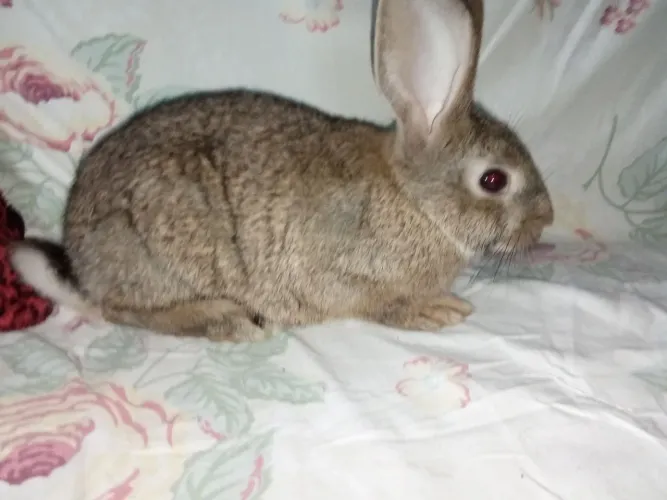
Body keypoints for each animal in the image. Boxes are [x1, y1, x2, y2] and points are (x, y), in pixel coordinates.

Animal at [9, 0, 553, 343]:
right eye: (494, 180)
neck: (417, 201)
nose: (545, 219)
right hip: (155, 245)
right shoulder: (338, 271)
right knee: (124, 311)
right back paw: (228, 321)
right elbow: (377, 303)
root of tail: (83, 269)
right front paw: (436, 310)